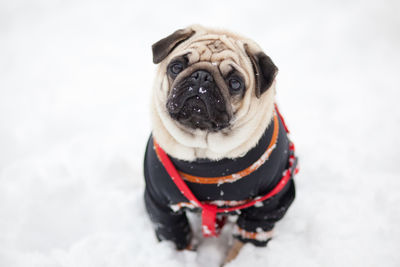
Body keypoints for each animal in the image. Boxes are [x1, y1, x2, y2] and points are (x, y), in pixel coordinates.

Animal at [144, 25, 296, 266]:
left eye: (235, 83)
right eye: (176, 67)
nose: (202, 76)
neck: (205, 151)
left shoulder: (266, 208)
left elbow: (244, 244)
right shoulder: (162, 207)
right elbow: (178, 239)